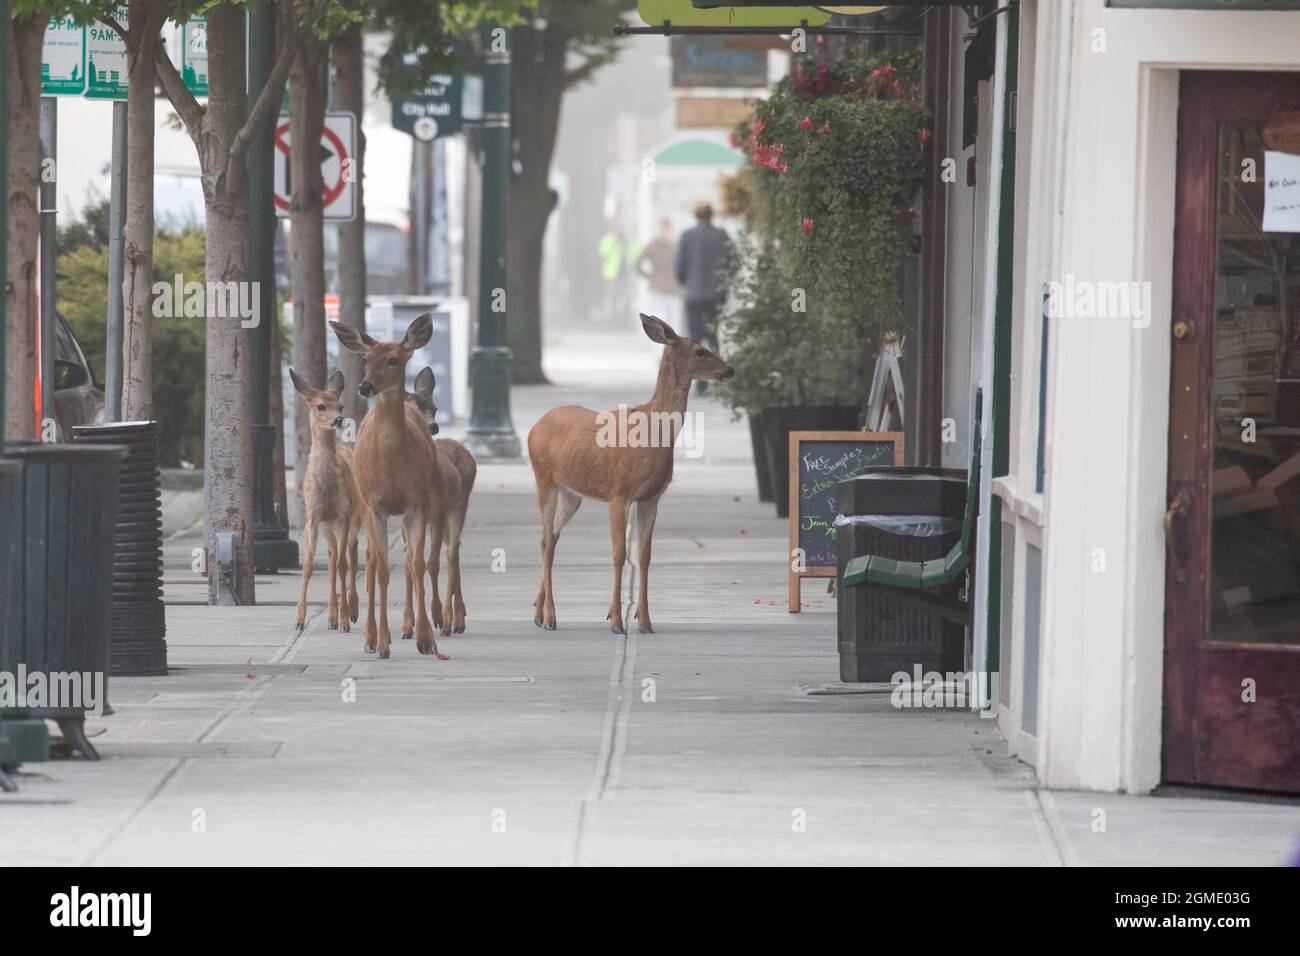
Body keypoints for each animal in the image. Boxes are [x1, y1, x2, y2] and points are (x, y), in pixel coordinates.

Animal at [289, 366, 358, 634]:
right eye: (320, 406)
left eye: (340, 405)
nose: (338, 420)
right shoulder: (314, 517)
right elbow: (309, 565)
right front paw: (298, 619)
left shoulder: (344, 515)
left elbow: (342, 564)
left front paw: (345, 619)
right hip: (329, 528)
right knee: (331, 557)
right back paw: (331, 616)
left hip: (359, 516)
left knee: (351, 553)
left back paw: (351, 612)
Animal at [327, 314, 449, 658]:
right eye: (367, 359)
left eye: (394, 359)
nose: (364, 385)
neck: (393, 467)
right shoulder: (375, 505)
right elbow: (381, 570)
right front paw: (381, 643)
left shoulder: (416, 504)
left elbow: (416, 565)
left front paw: (425, 638)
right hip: (365, 508)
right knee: (370, 563)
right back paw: (369, 636)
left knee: (406, 562)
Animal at [405, 366, 478, 634]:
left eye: (435, 408)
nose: (433, 426)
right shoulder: (405, 519)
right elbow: (410, 563)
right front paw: (409, 624)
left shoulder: (435, 513)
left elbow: (432, 563)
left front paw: (436, 617)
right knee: (453, 549)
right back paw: (458, 616)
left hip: (458, 507)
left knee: (451, 554)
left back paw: (451, 620)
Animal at [525, 314, 733, 639]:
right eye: (700, 351)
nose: (729, 370)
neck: (652, 435)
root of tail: (534, 428)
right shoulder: (619, 492)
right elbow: (619, 553)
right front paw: (616, 621)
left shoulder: (651, 497)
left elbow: (644, 556)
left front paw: (645, 621)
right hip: (543, 477)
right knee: (546, 539)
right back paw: (549, 617)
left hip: (572, 494)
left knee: (552, 537)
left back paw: (537, 613)